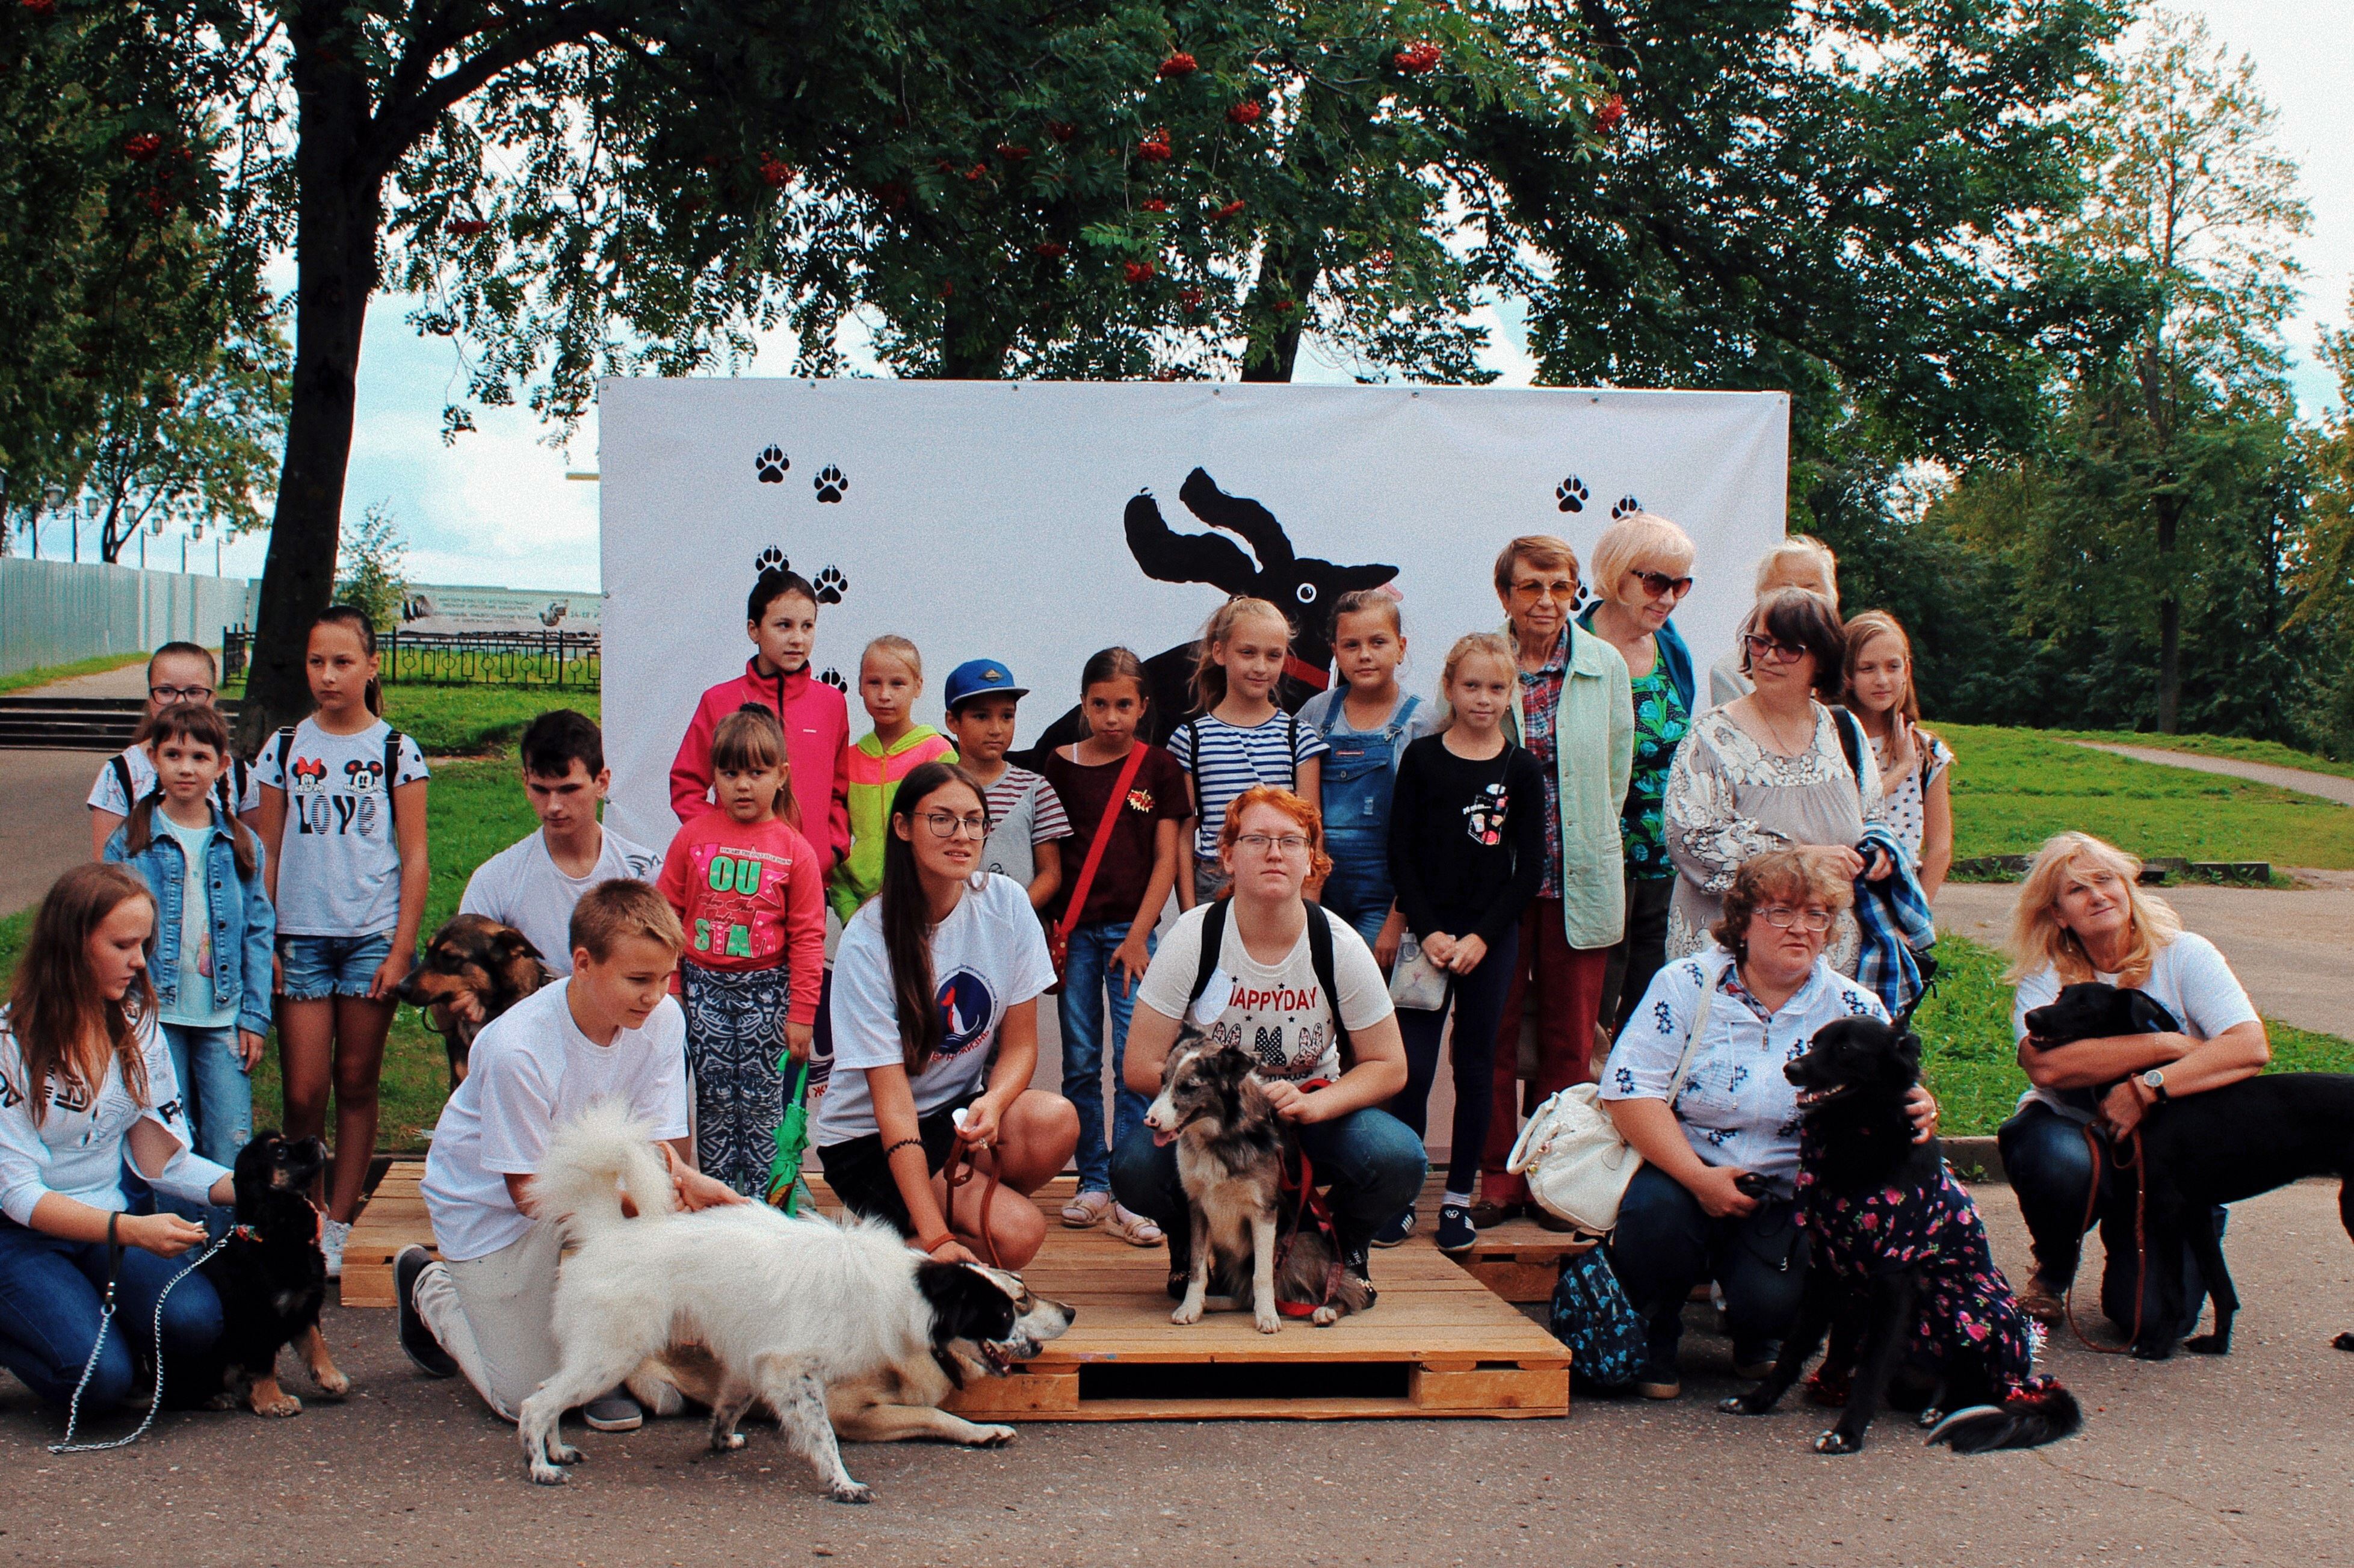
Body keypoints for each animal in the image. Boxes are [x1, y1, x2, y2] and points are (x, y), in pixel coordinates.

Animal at [196, 1130, 348, 1412]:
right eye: (280, 1152)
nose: (314, 1139)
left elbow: (316, 1342)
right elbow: (263, 1363)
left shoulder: (303, 1306)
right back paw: (219, 1398)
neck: (276, 1235)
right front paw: (274, 1402)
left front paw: (332, 1378)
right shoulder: (260, 1317)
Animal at [527, 1092, 1069, 1497]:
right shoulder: (799, 1372)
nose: (1069, 1313)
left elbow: (732, 1403)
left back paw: (556, 1450)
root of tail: (607, 1232)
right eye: (1009, 1309)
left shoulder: (754, 1359)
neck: (904, 1289)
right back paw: (541, 1467)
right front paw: (842, 1483)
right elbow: (829, 1434)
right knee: (537, 1404)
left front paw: (722, 1438)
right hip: (613, 1354)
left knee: (546, 1394)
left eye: (1019, 1295)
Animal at [1723, 1022, 2090, 1450]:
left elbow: (1871, 1367)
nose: (1791, 1069)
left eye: (1846, 1048)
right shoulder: (1825, 1269)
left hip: (1975, 1313)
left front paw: (1846, 1434)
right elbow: (1792, 1349)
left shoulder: (1893, 1279)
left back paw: (1945, 1409)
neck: (1859, 1132)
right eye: (1814, 1043)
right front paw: (1757, 1401)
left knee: (1989, 1387)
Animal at [2024, 984, 2354, 1347]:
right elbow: (2220, 1285)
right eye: (2061, 995)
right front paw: (2217, 1344)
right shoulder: (2196, 1212)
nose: (2031, 1017)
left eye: (2085, 1005)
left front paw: (2159, 1345)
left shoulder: (2169, 1208)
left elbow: (2172, 1289)